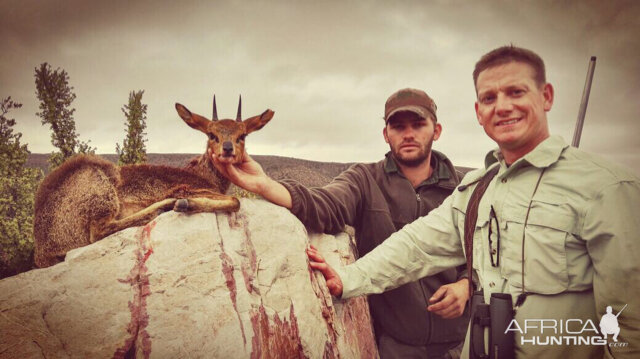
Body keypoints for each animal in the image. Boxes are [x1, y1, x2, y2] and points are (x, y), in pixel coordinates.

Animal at [33, 95, 272, 268]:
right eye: (211, 135)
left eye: (243, 135)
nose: (228, 148)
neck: (205, 175)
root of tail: (43, 248)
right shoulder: (192, 187)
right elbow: (235, 200)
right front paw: (185, 203)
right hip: (100, 185)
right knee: (100, 230)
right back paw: (166, 205)